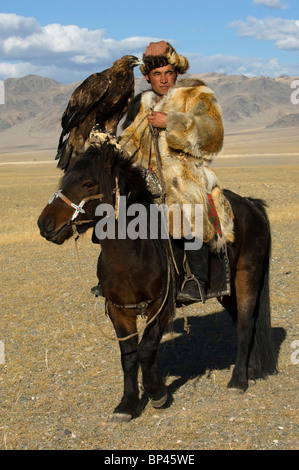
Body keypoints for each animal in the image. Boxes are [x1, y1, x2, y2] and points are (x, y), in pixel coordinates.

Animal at [38, 141, 278, 420]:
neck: (133, 253)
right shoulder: (119, 310)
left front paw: (156, 393)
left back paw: (238, 381)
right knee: (243, 320)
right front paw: (127, 404)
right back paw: (253, 370)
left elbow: (146, 348)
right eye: (64, 180)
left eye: (88, 184)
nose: (45, 223)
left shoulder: (162, 307)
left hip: (247, 276)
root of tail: (251, 205)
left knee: (245, 325)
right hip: (227, 292)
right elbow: (129, 355)